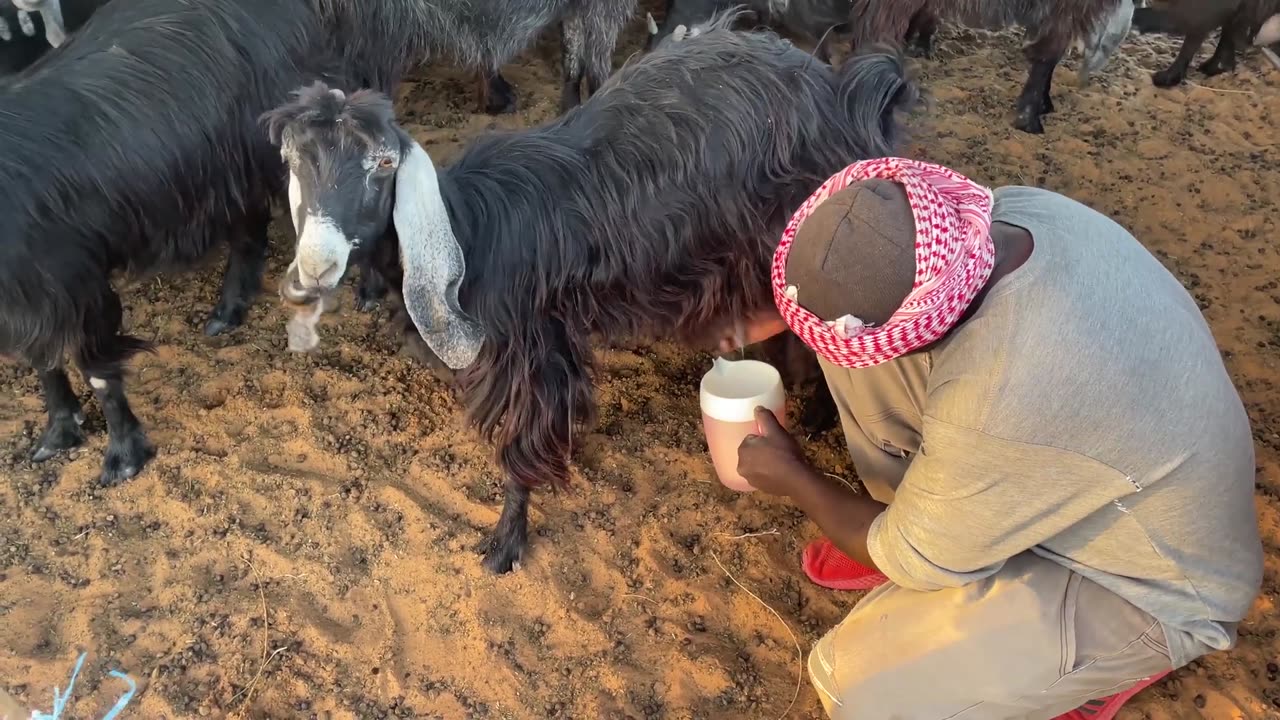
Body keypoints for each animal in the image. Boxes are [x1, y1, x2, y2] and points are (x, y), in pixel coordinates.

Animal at [264, 15, 916, 571]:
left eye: (382, 166)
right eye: (291, 161)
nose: (317, 264)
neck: (469, 228)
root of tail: (841, 90)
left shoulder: (533, 349)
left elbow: (520, 445)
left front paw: (505, 544)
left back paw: (817, 414)